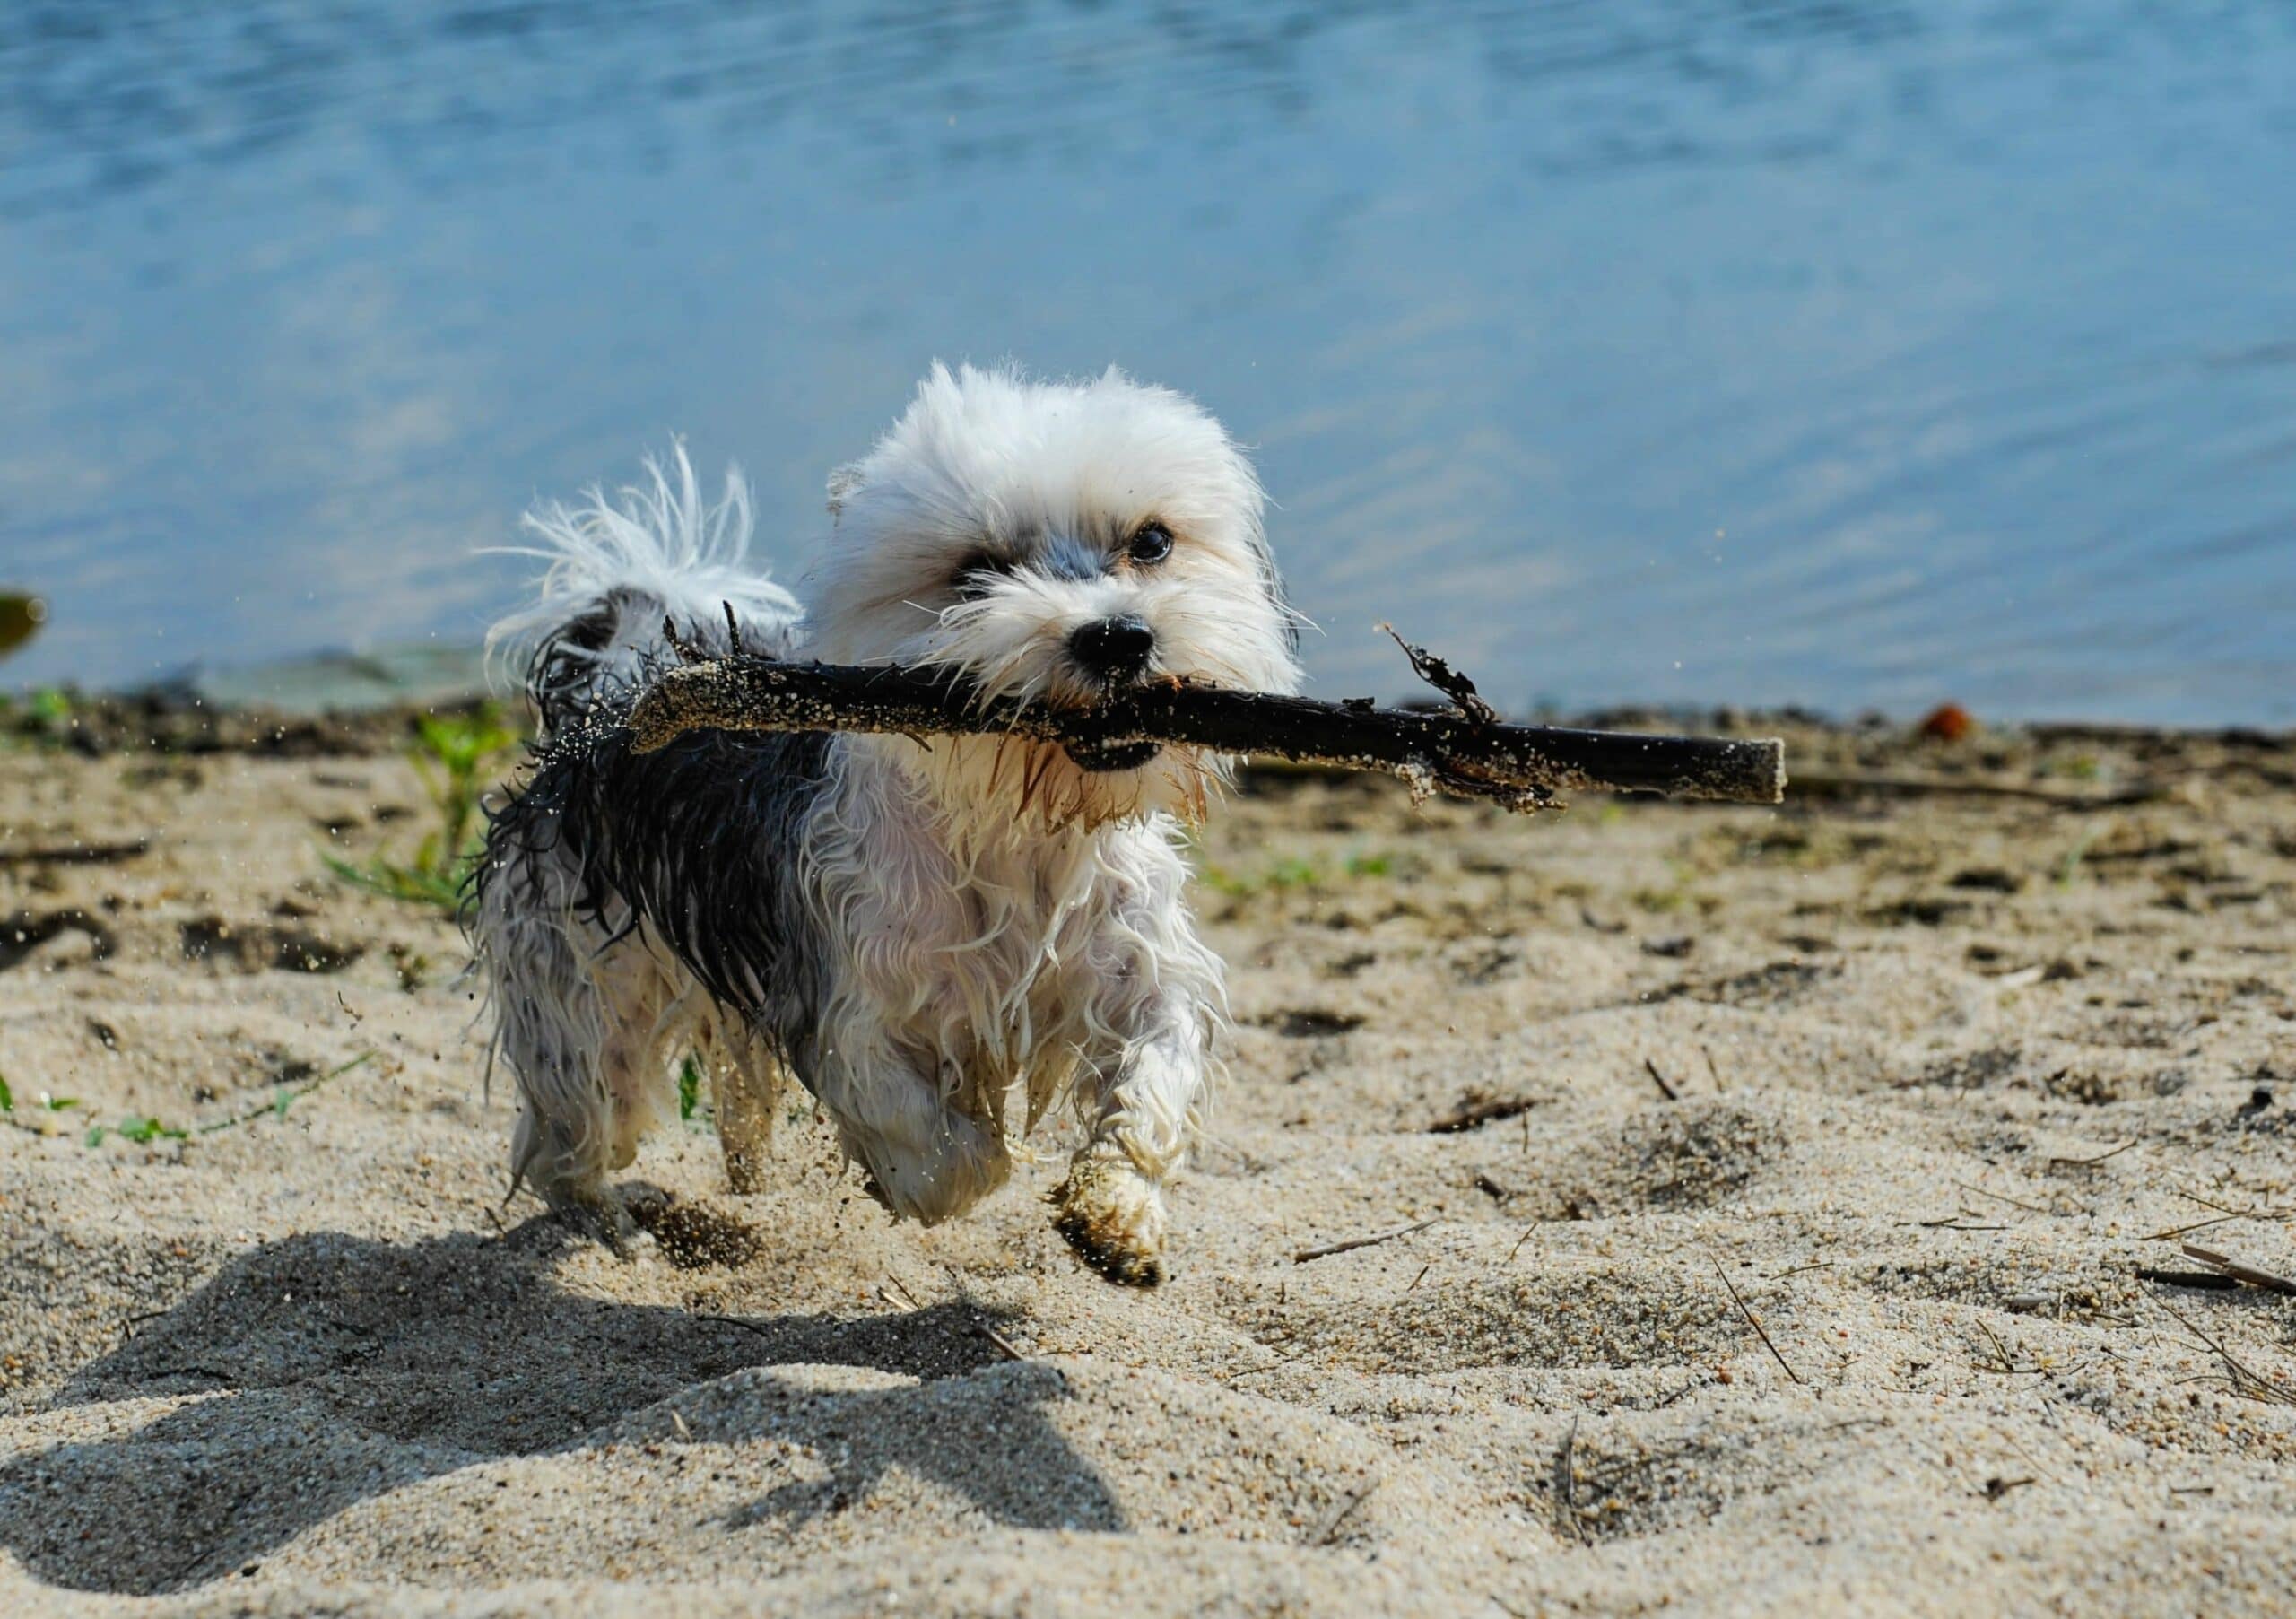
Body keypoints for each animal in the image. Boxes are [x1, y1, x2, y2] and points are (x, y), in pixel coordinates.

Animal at [474, 360, 1304, 1285]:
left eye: (1152, 541)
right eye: (978, 571)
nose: (1118, 636)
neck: (1017, 826)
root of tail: (609, 692)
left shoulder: (1131, 965)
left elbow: (1152, 1070)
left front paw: (1115, 1217)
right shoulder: (853, 998)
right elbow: (947, 1153)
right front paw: (916, 1176)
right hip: (584, 980)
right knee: (573, 1132)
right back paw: (618, 1226)